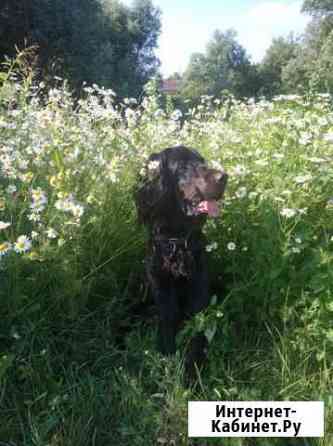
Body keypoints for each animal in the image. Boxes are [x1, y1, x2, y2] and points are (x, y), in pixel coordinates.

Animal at [134, 146, 226, 362]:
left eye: (202, 162)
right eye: (183, 166)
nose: (224, 177)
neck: (177, 241)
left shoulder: (199, 283)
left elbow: (198, 328)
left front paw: (192, 366)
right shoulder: (160, 285)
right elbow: (168, 320)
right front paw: (168, 357)